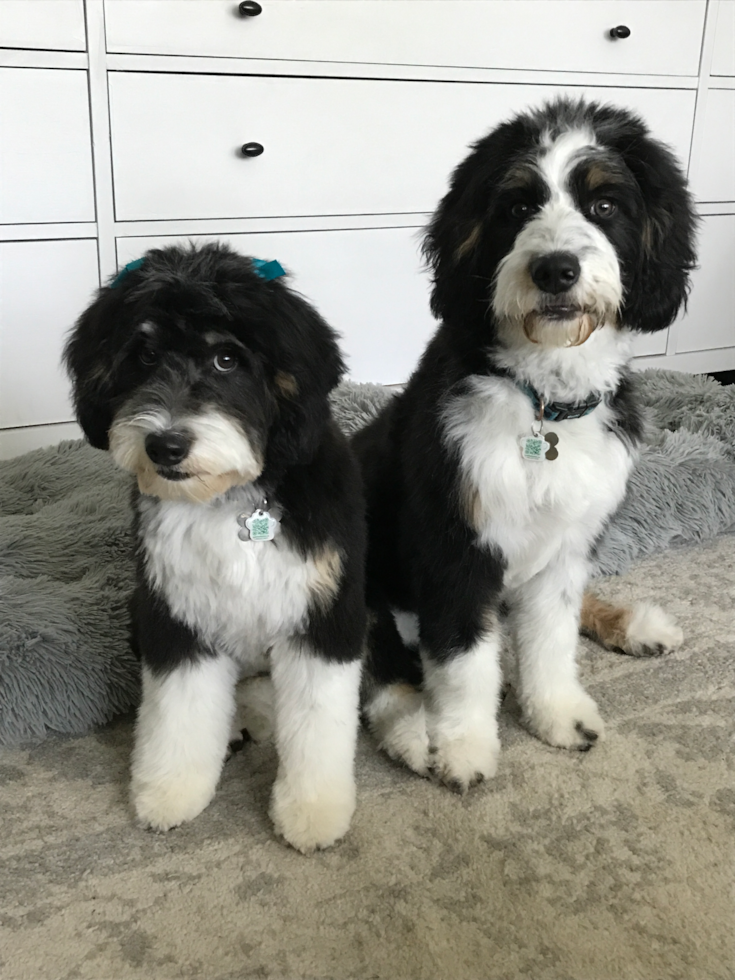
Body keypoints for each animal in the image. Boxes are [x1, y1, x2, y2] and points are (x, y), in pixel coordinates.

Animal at [64, 243, 368, 848]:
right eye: (144, 355)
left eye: (227, 359)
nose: (165, 445)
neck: (231, 498)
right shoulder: (174, 613)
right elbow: (177, 713)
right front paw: (170, 791)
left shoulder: (324, 614)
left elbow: (317, 722)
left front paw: (313, 810)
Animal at [356, 97, 696, 788]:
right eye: (516, 207)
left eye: (604, 204)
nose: (555, 270)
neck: (545, 402)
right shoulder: (455, 547)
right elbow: (463, 661)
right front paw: (462, 744)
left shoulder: (567, 544)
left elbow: (551, 638)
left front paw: (556, 714)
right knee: (382, 668)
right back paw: (413, 731)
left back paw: (636, 625)